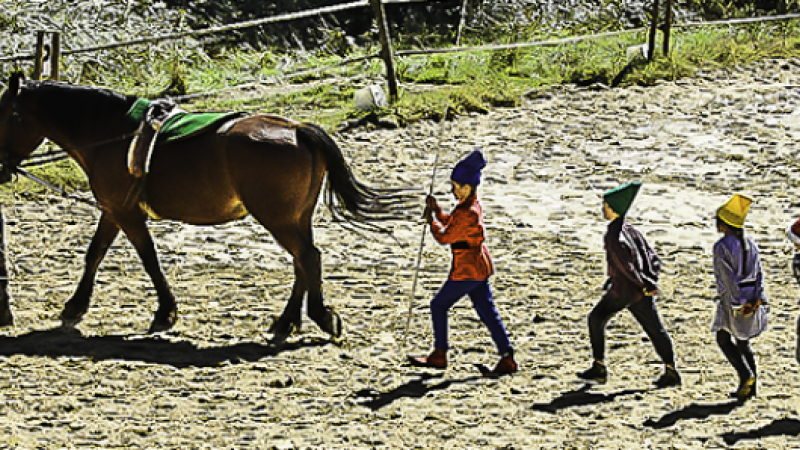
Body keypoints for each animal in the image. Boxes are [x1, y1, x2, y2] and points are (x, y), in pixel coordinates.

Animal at [0, 72, 407, 339]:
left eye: (5, 116)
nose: (2, 168)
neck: (110, 133)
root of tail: (296, 129)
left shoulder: (125, 213)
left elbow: (148, 258)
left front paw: (165, 312)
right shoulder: (113, 210)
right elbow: (95, 253)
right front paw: (75, 306)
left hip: (278, 219)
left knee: (307, 258)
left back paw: (320, 318)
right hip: (295, 218)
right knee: (303, 262)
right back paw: (287, 321)